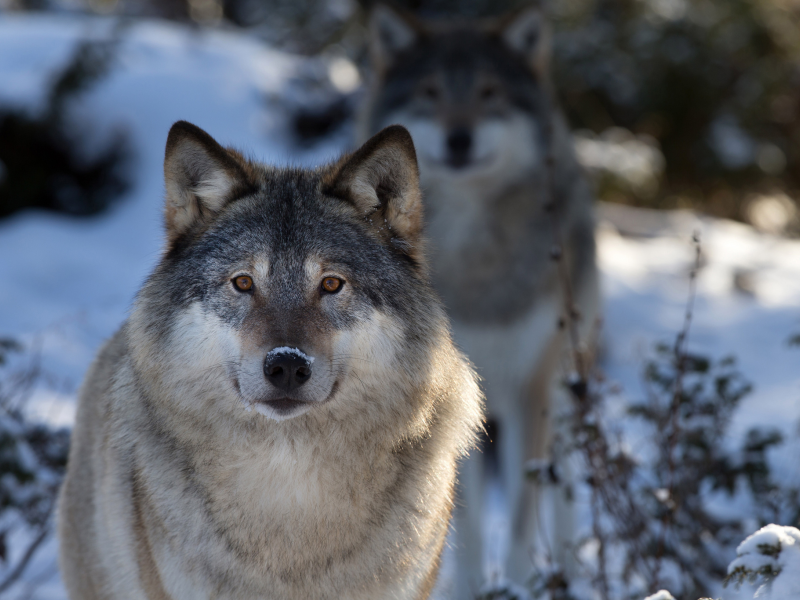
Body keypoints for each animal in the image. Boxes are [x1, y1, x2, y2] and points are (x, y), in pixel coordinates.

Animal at [358, 3, 600, 596]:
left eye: (490, 92)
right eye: (430, 91)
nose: (459, 138)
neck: (475, 260)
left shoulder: (530, 388)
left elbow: (520, 510)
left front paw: (515, 583)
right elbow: (459, 512)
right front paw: (467, 585)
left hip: (566, 384)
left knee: (562, 486)